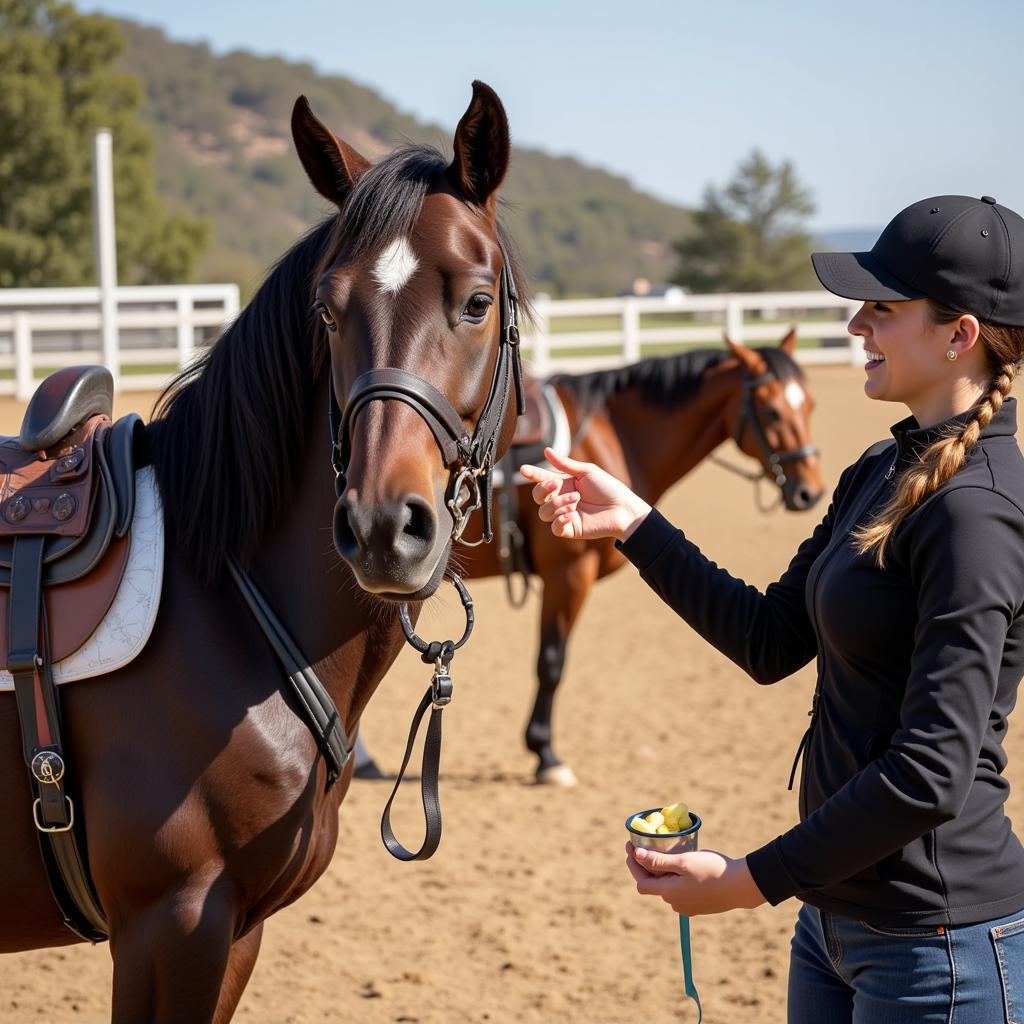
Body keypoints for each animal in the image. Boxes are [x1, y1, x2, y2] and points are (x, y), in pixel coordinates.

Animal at [0, 81, 524, 1024]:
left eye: (476, 302)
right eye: (328, 310)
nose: (383, 525)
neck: (220, 603)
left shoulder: (235, 931)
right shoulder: (170, 927)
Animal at [354, 333, 823, 782]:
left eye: (809, 403)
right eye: (771, 411)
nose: (810, 491)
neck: (612, 433)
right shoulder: (569, 573)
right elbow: (551, 662)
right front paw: (545, 754)